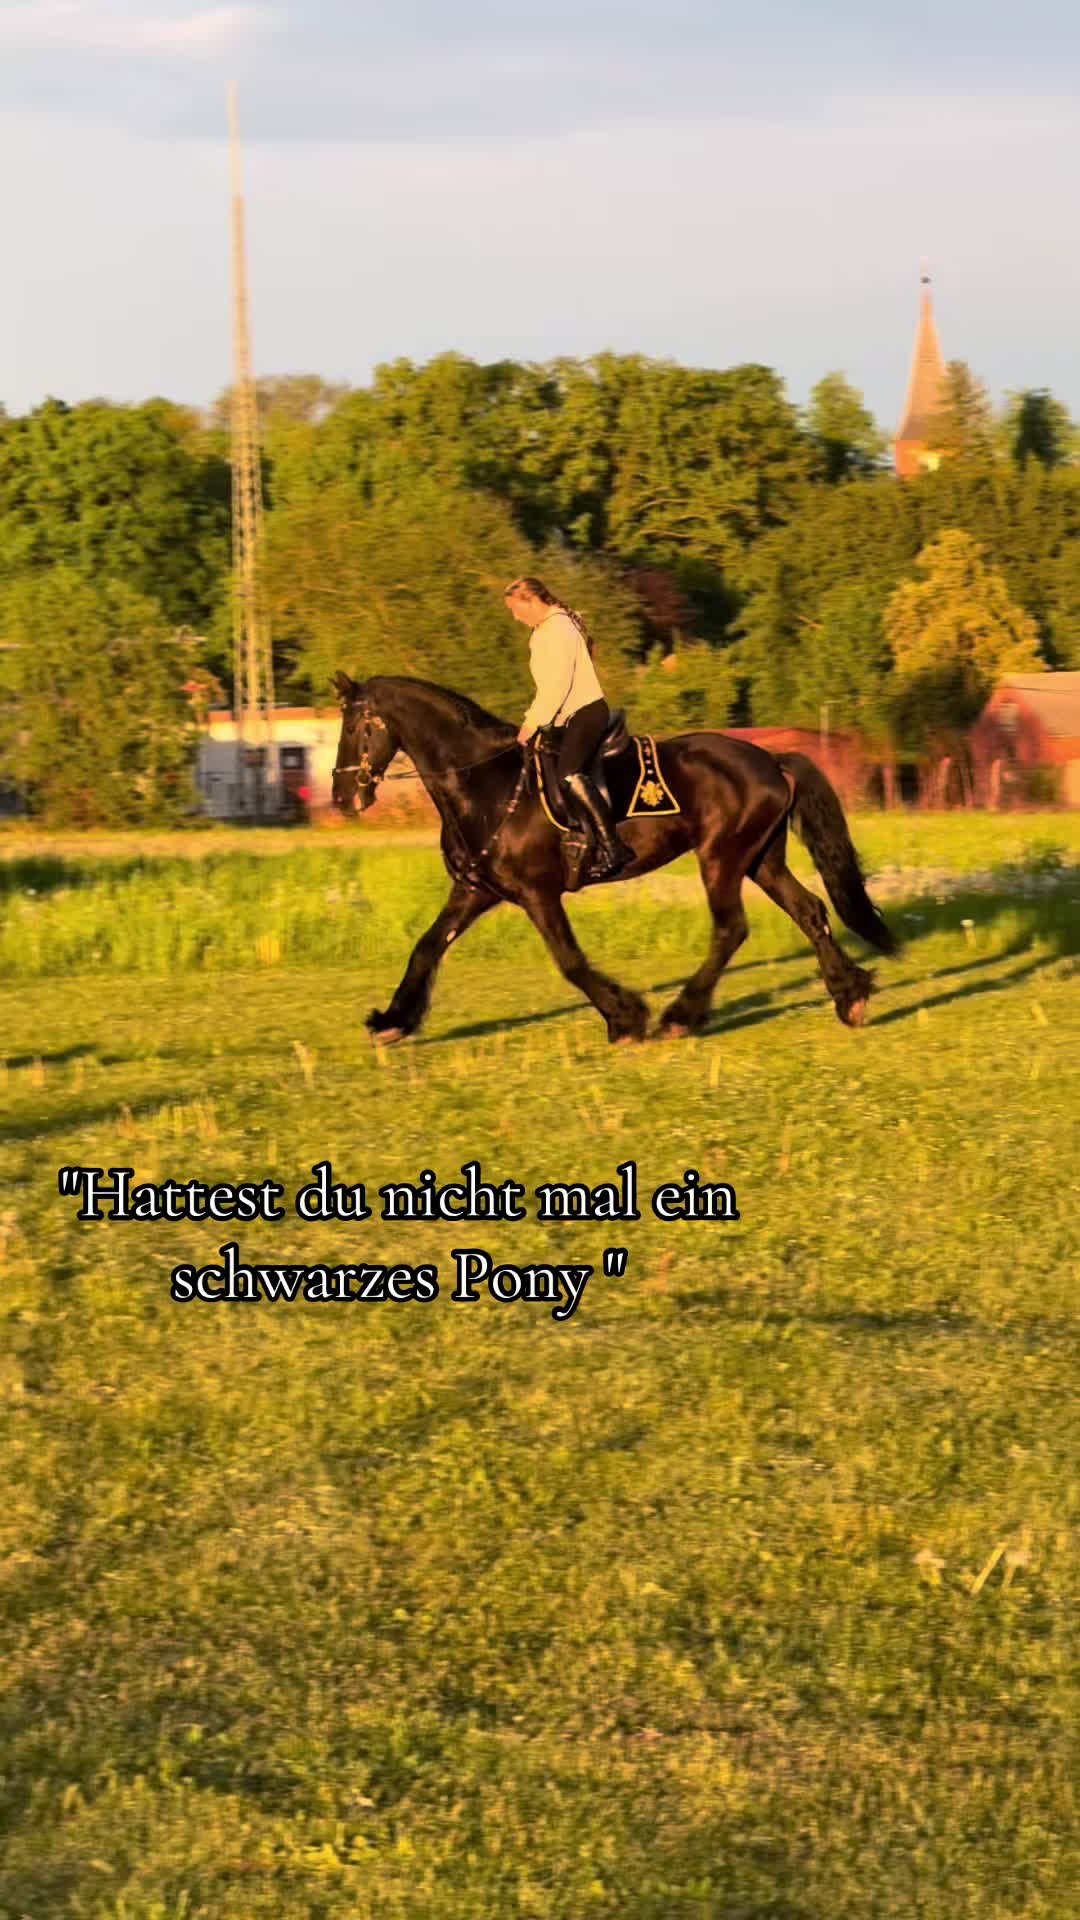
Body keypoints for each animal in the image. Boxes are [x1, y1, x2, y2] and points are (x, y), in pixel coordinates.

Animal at [331, 672, 898, 1045]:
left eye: (358, 727)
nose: (343, 799)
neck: (484, 785)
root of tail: (770, 759)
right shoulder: (477, 890)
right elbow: (426, 946)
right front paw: (392, 1021)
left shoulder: (537, 893)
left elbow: (569, 961)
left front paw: (626, 1018)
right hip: (761, 859)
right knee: (809, 911)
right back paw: (850, 996)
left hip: (722, 857)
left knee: (730, 928)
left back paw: (679, 1016)